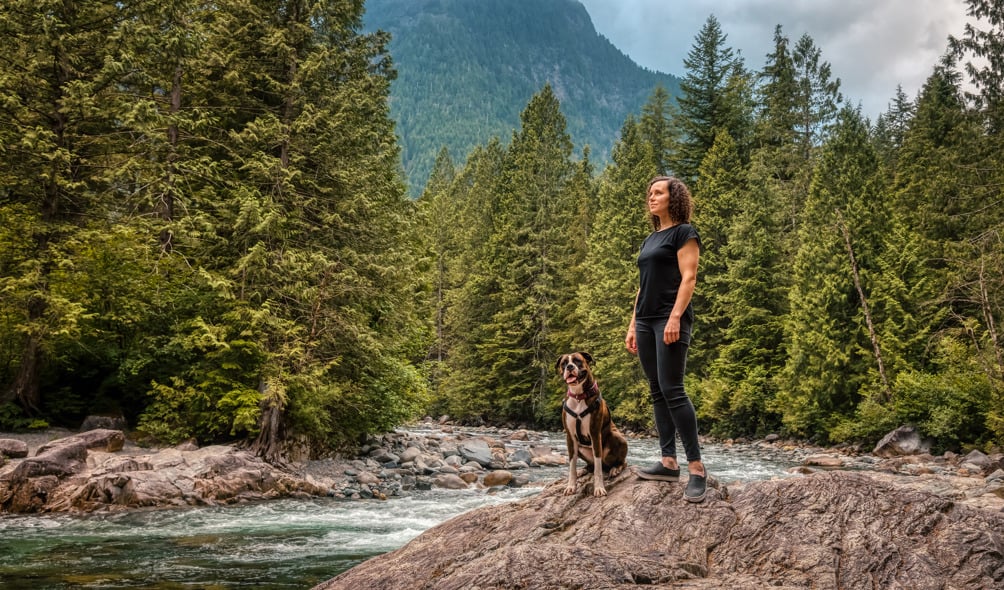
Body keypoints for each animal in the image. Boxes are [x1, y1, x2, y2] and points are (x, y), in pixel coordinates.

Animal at [558, 353, 626, 495]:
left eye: (578, 361)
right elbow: (572, 466)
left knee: (619, 462)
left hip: (618, 437)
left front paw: (599, 488)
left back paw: (615, 468)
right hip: (579, 447)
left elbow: (598, 469)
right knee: (591, 465)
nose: (570, 366)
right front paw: (571, 486)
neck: (579, 396)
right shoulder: (570, 437)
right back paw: (582, 470)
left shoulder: (595, 434)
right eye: (564, 363)